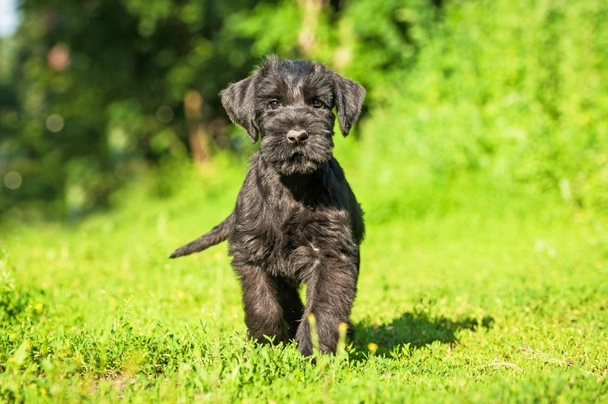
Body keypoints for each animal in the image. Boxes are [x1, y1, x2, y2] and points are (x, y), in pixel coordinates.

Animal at [169, 55, 364, 356]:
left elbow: (323, 306)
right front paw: (266, 344)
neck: (292, 187)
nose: (297, 135)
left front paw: (314, 352)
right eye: (273, 103)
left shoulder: (331, 253)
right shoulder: (251, 253)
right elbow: (262, 303)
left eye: (317, 103)